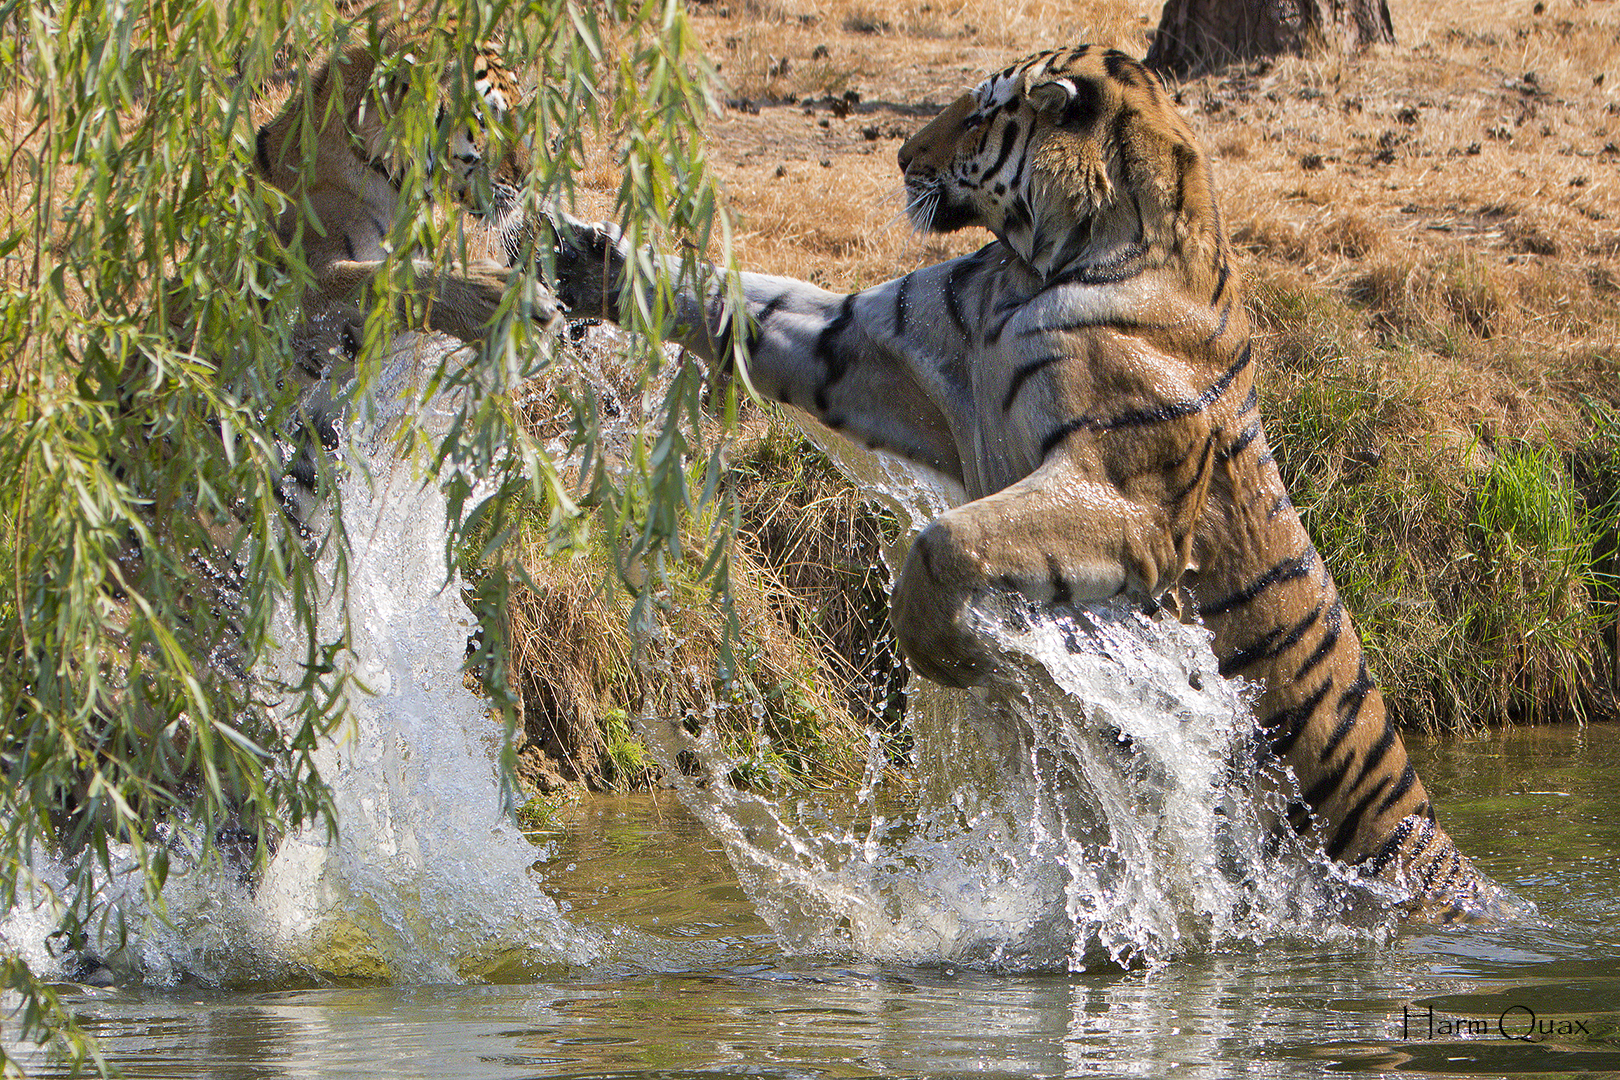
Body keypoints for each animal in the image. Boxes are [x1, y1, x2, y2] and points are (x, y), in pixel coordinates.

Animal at [528, 46, 1490, 919]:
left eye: (983, 112)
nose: (901, 156)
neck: (1033, 268)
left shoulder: (1122, 497)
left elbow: (947, 540)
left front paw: (946, 652)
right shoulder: (872, 348)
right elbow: (753, 305)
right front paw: (583, 258)